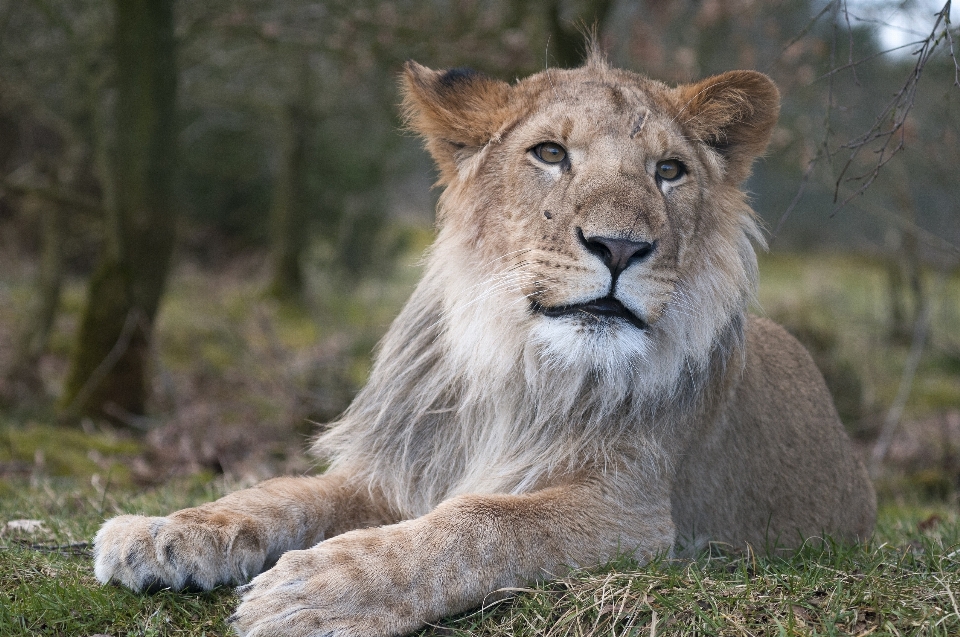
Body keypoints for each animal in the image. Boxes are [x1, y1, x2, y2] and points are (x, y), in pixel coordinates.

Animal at [94, 51, 872, 636]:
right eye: (550, 153)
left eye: (669, 171)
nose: (621, 246)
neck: (521, 368)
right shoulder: (395, 470)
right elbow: (281, 494)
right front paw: (161, 531)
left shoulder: (634, 515)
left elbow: (484, 521)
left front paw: (318, 587)